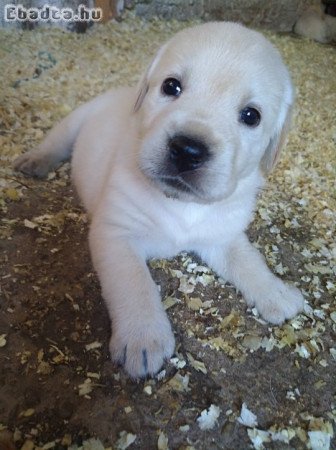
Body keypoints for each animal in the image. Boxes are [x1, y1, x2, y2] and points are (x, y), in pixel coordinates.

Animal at [14, 22, 304, 378]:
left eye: (251, 115)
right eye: (171, 86)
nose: (188, 150)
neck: (182, 203)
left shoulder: (222, 235)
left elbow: (248, 260)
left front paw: (276, 292)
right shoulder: (116, 233)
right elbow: (134, 282)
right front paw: (143, 337)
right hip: (75, 122)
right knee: (54, 142)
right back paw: (35, 160)